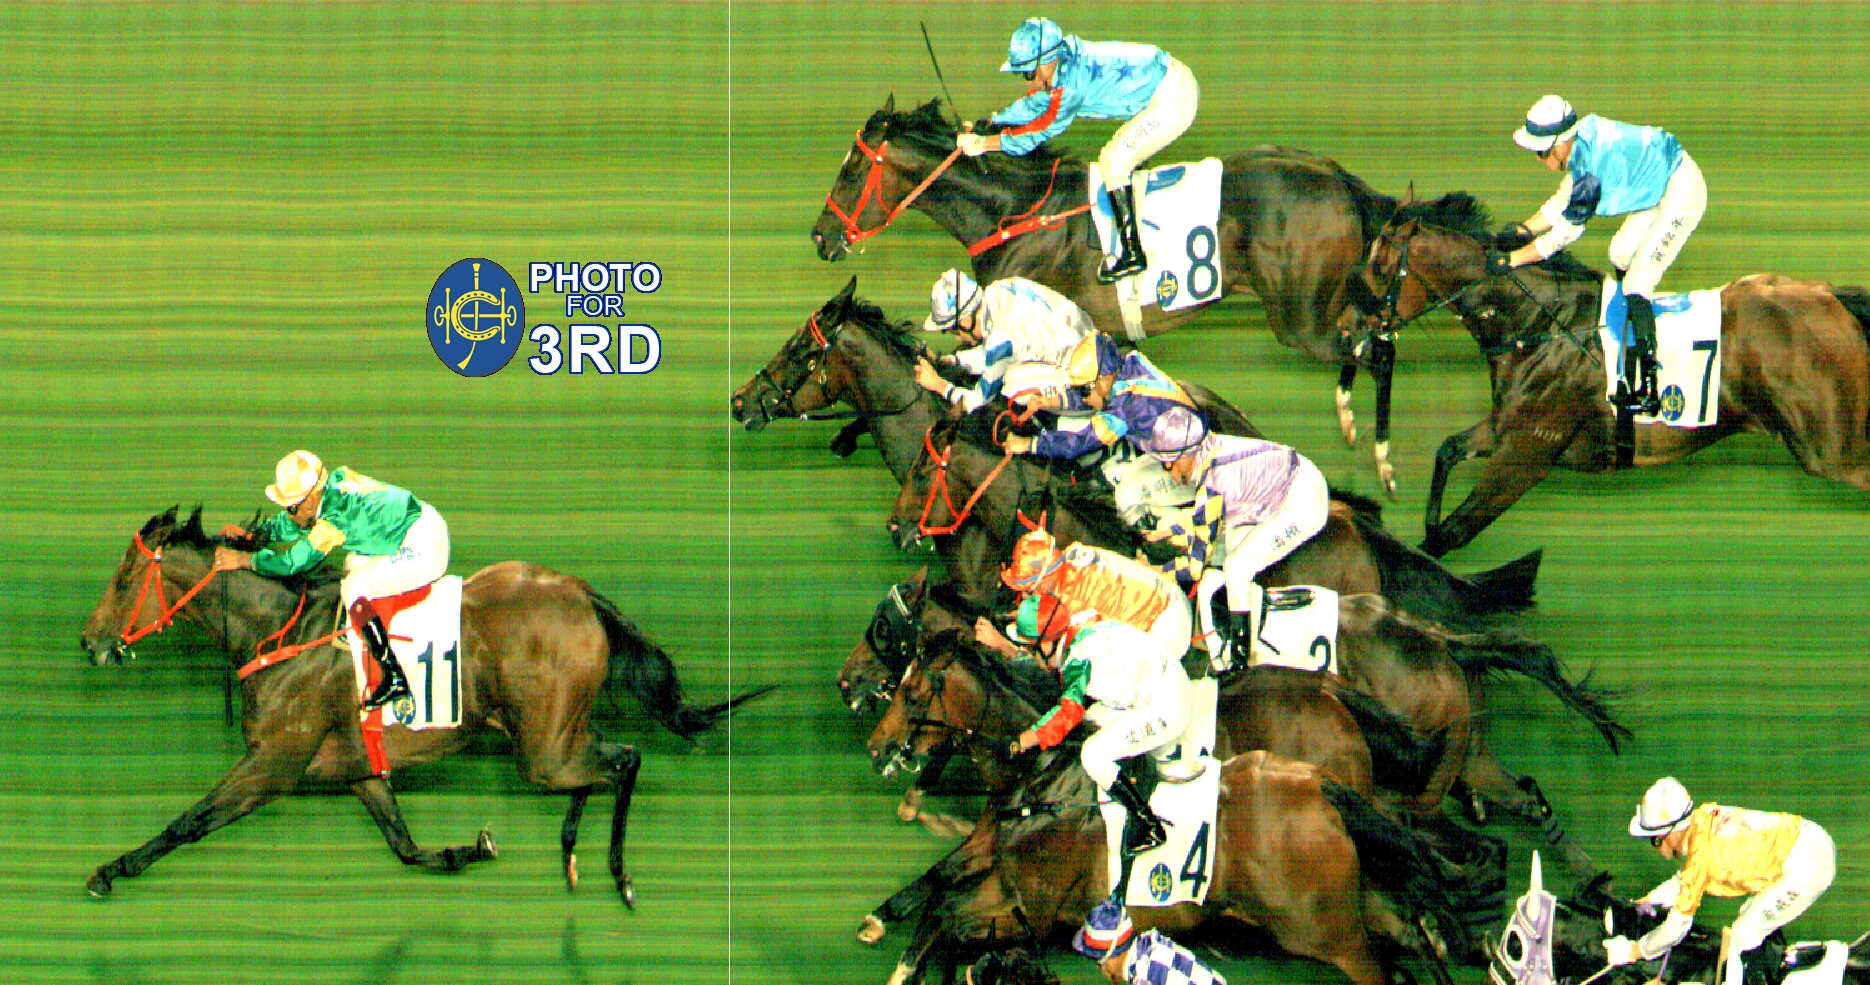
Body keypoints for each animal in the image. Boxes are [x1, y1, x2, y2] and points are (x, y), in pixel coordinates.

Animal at [77, 507, 767, 903]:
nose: (90, 643)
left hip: (541, 752)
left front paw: (110, 870)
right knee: (605, 763)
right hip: (556, 734)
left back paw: (619, 877)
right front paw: (470, 851)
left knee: (624, 760)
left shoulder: (272, 764)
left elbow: (189, 821)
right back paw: (570, 854)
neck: (279, 634)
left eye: (123, 580)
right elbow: (405, 846)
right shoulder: (360, 770)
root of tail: (579, 594)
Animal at [807, 96, 1418, 490]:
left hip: (1300, 321)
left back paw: (1382, 456)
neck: (1011, 211)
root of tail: (1341, 181)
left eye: (853, 167)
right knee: (1372, 330)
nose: (820, 236)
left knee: (1377, 347)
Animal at [1341, 194, 1870, 556]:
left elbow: (1454, 532)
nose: (1345, 326)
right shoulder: (1508, 429)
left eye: (1380, 266)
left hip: (1831, 450)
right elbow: (1447, 451)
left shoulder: (1527, 455)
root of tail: (1830, 296)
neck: (1537, 324)